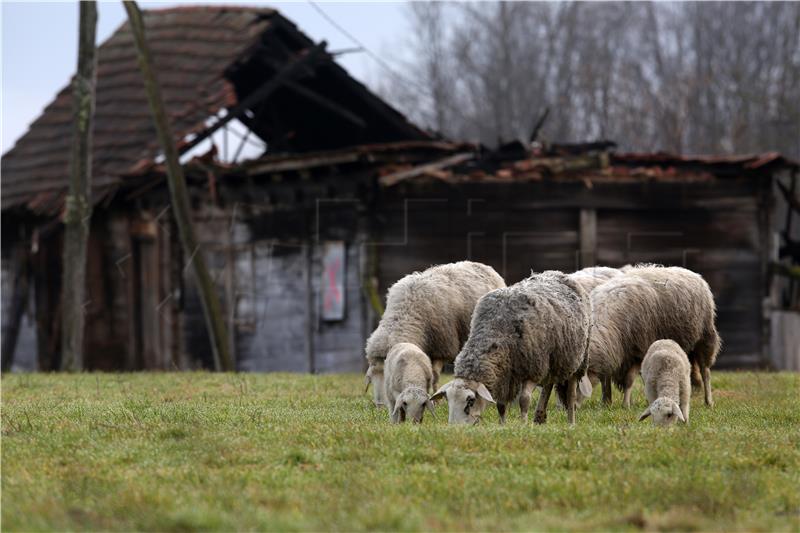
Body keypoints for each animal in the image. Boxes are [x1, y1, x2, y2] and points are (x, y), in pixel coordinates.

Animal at [364, 262, 504, 408]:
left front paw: (437, 400)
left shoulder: (441, 347)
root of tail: (482, 265)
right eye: (371, 378)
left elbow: (435, 377)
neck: (407, 311)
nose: (380, 406)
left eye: (388, 377)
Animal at [432, 270, 592, 424]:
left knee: (570, 394)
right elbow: (501, 405)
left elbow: (524, 400)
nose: (456, 427)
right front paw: (502, 425)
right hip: (553, 360)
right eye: (448, 401)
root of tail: (559, 274)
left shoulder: (532, 369)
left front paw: (523, 424)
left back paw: (570, 422)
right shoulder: (505, 375)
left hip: (577, 360)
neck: (497, 331)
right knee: (548, 384)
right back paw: (539, 417)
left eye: (470, 401)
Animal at [580, 262, 720, 408]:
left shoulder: (638, 349)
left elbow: (629, 380)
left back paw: (708, 401)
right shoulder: (613, 353)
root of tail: (692, 273)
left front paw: (625, 405)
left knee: (705, 371)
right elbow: (607, 379)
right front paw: (606, 403)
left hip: (704, 337)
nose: (571, 408)